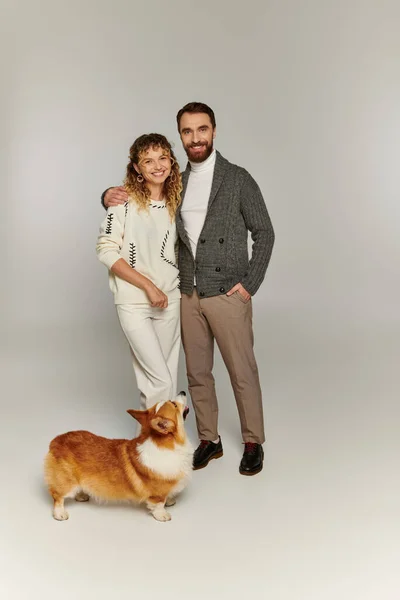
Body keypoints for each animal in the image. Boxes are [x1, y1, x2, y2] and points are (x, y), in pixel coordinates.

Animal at [43, 392, 192, 524]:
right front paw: (162, 515)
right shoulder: (157, 493)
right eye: (174, 404)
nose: (183, 391)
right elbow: (159, 503)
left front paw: (170, 501)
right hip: (66, 482)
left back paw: (81, 495)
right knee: (57, 496)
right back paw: (60, 513)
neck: (169, 444)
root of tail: (55, 441)